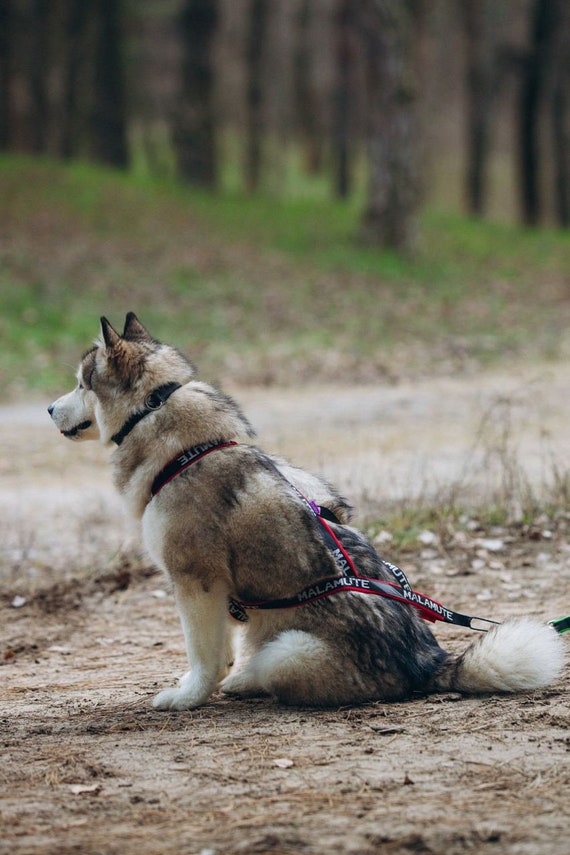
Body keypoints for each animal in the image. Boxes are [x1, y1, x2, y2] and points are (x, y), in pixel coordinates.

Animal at [48, 314, 564, 708]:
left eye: (80, 384)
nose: (49, 408)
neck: (172, 432)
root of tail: (427, 663)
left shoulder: (195, 582)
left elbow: (206, 656)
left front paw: (188, 697)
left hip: (287, 649)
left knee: (268, 671)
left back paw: (246, 682)